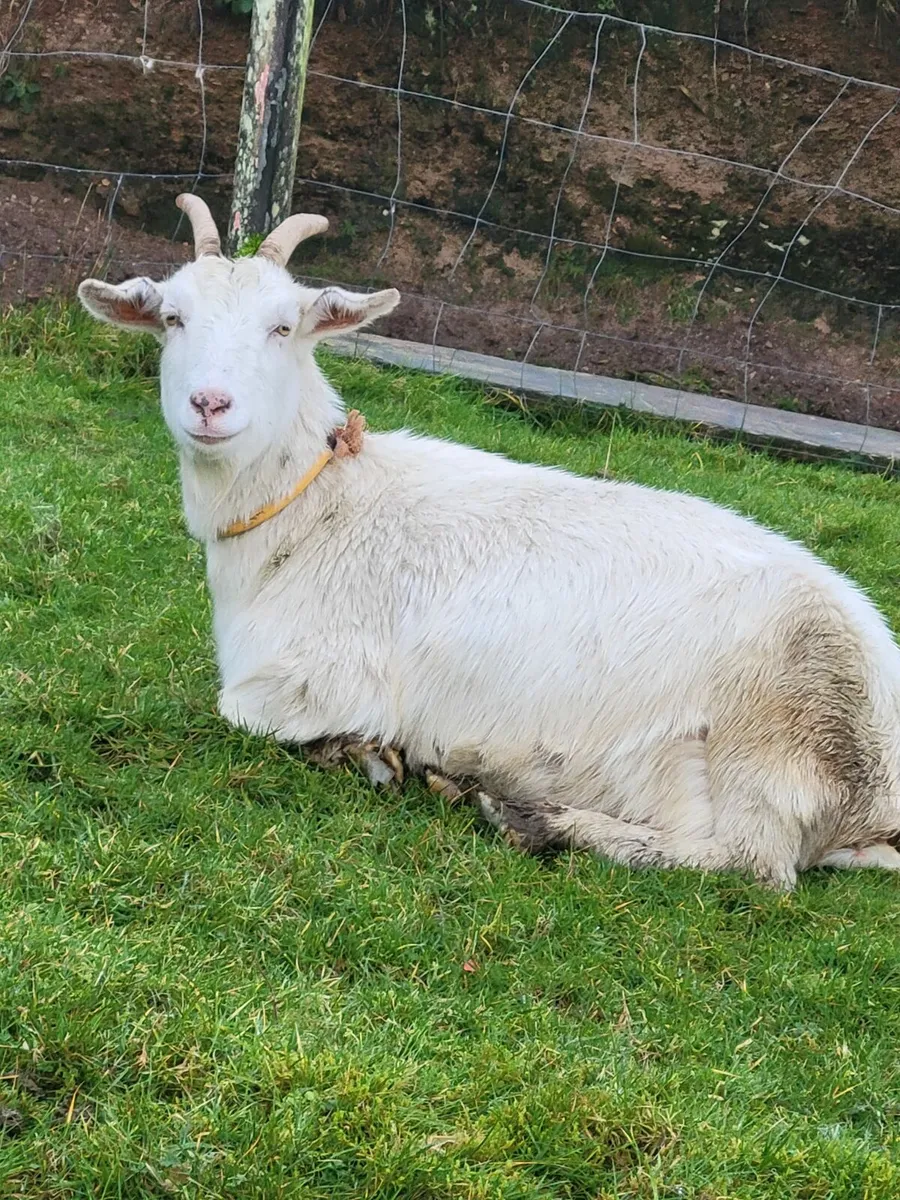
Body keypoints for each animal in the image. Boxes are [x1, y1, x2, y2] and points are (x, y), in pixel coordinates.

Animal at [77, 195, 900, 889]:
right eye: (172, 318)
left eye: (284, 327)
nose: (210, 404)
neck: (317, 513)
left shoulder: (322, 676)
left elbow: (242, 710)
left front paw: (370, 755)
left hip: (777, 731)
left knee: (753, 864)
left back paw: (532, 817)